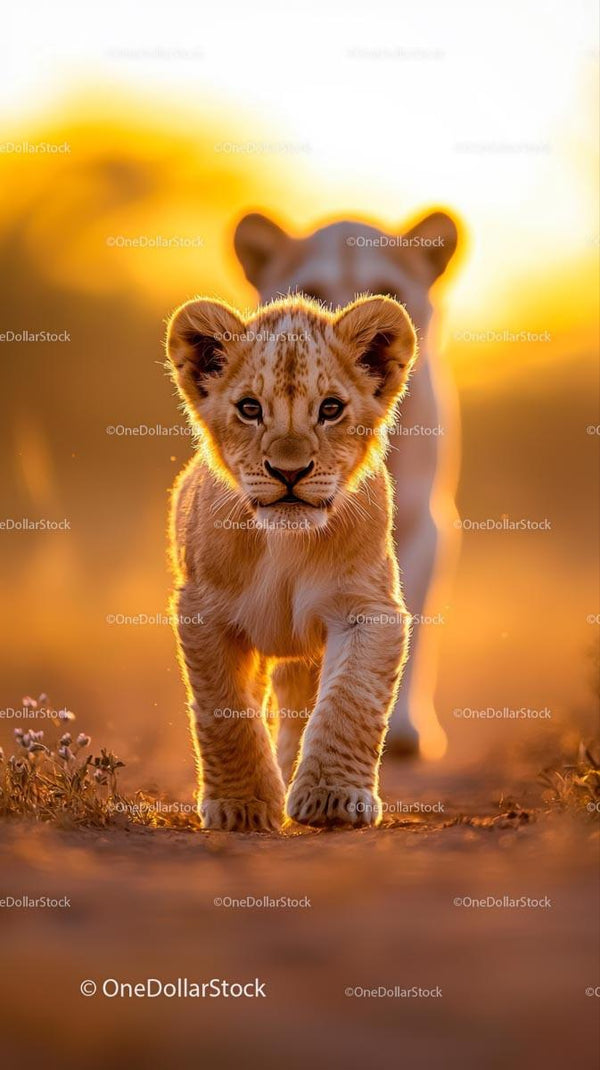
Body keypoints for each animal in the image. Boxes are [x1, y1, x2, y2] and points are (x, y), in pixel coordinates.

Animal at [166, 293, 417, 830]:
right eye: (249, 408)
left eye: (330, 409)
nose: (288, 471)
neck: (284, 543)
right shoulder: (204, 612)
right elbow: (224, 709)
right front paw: (240, 807)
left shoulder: (369, 608)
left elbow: (350, 699)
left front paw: (332, 799)